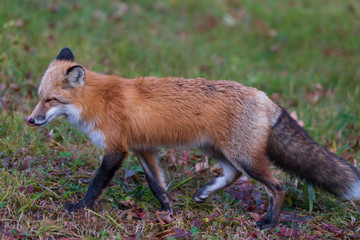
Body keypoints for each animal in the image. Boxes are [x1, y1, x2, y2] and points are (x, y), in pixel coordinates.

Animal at [26, 47, 358, 230]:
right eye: (39, 98)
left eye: (50, 100)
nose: (30, 120)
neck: (99, 100)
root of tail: (264, 97)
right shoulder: (143, 148)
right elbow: (157, 184)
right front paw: (169, 212)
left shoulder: (116, 150)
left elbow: (96, 185)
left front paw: (79, 208)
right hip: (216, 150)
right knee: (232, 174)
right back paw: (204, 193)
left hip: (245, 157)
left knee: (278, 186)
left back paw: (269, 222)